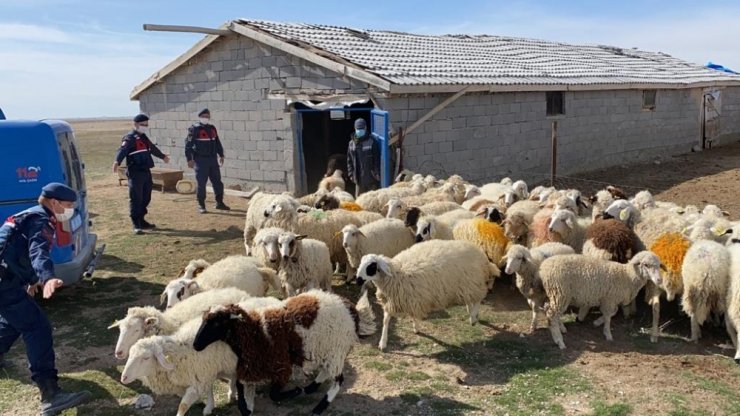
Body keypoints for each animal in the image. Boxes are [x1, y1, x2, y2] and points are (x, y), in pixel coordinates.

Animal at [192, 290, 376, 416]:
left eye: (217, 322)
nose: (195, 345)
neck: (256, 333)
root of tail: (349, 306)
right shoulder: (249, 370)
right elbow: (243, 400)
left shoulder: (280, 366)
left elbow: (274, 395)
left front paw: (294, 392)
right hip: (326, 349)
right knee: (326, 371)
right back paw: (310, 388)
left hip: (336, 348)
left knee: (338, 379)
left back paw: (319, 407)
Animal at [356, 240, 500, 352]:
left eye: (371, 266)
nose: (357, 280)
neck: (396, 274)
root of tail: (481, 255)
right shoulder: (396, 300)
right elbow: (386, 321)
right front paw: (383, 342)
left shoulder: (410, 299)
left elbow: (409, 316)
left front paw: (415, 328)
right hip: (466, 287)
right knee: (470, 300)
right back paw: (471, 313)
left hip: (474, 283)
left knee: (478, 299)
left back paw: (474, 317)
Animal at [536, 252, 664, 350]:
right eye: (646, 265)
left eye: (659, 265)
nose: (659, 280)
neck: (627, 275)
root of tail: (542, 268)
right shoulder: (610, 299)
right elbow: (608, 316)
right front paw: (608, 334)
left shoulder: (607, 299)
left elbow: (612, 313)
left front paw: (597, 322)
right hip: (560, 293)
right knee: (552, 314)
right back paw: (559, 341)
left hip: (554, 295)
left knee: (548, 309)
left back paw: (561, 329)